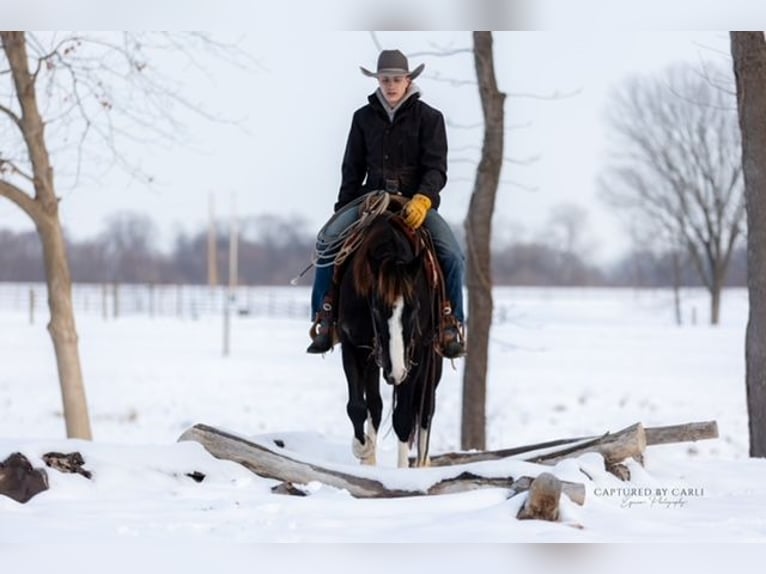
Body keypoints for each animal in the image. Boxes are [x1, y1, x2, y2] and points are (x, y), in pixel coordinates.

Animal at [336, 210, 443, 468]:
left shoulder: (415, 355)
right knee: (375, 405)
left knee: (426, 410)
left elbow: (403, 418)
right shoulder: (352, 345)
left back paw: (422, 463)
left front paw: (402, 469)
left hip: (431, 363)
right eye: (375, 308)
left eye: (415, 309)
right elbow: (358, 406)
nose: (396, 372)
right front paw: (363, 448)